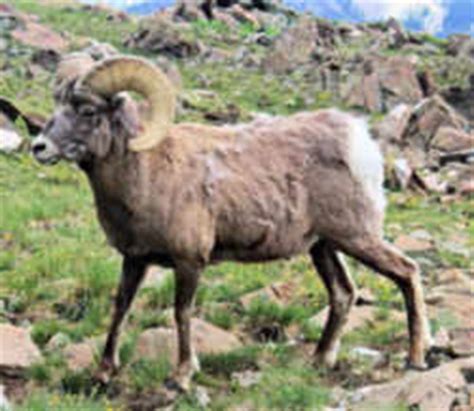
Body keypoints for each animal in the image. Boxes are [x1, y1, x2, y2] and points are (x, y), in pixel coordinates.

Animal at [31, 56, 432, 392]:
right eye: (58, 105)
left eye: (87, 110)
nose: (39, 147)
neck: (146, 174)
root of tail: (359, 143)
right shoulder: (135, 259)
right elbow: (121, 308)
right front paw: (103, 373)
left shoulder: (189, 261)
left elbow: (181, 313)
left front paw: (181, 377)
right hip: (324, 247)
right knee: (343, 293)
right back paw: (319, 360)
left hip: (357, 237)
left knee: (406, 272)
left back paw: (415, 360)